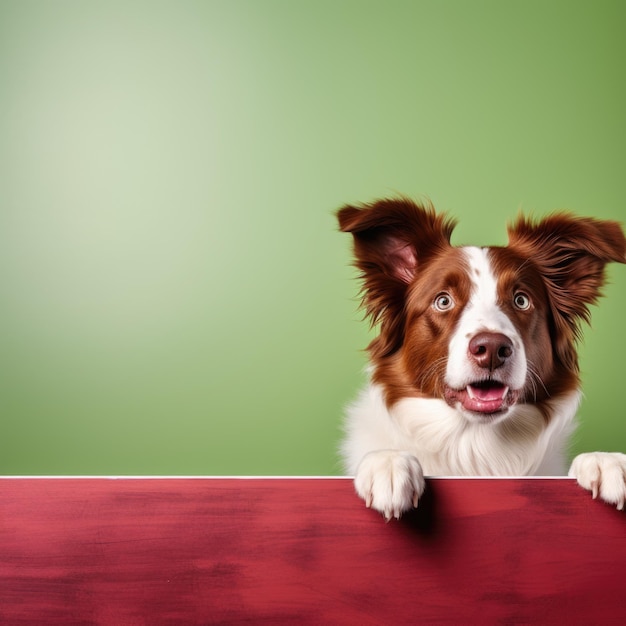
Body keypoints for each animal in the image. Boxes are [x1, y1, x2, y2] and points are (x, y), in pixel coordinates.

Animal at [336, 196, 624, 516]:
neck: (474, 445)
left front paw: (604, 460)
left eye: (521, 300)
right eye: (443, 301)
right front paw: (388, 463)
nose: (492, 350)